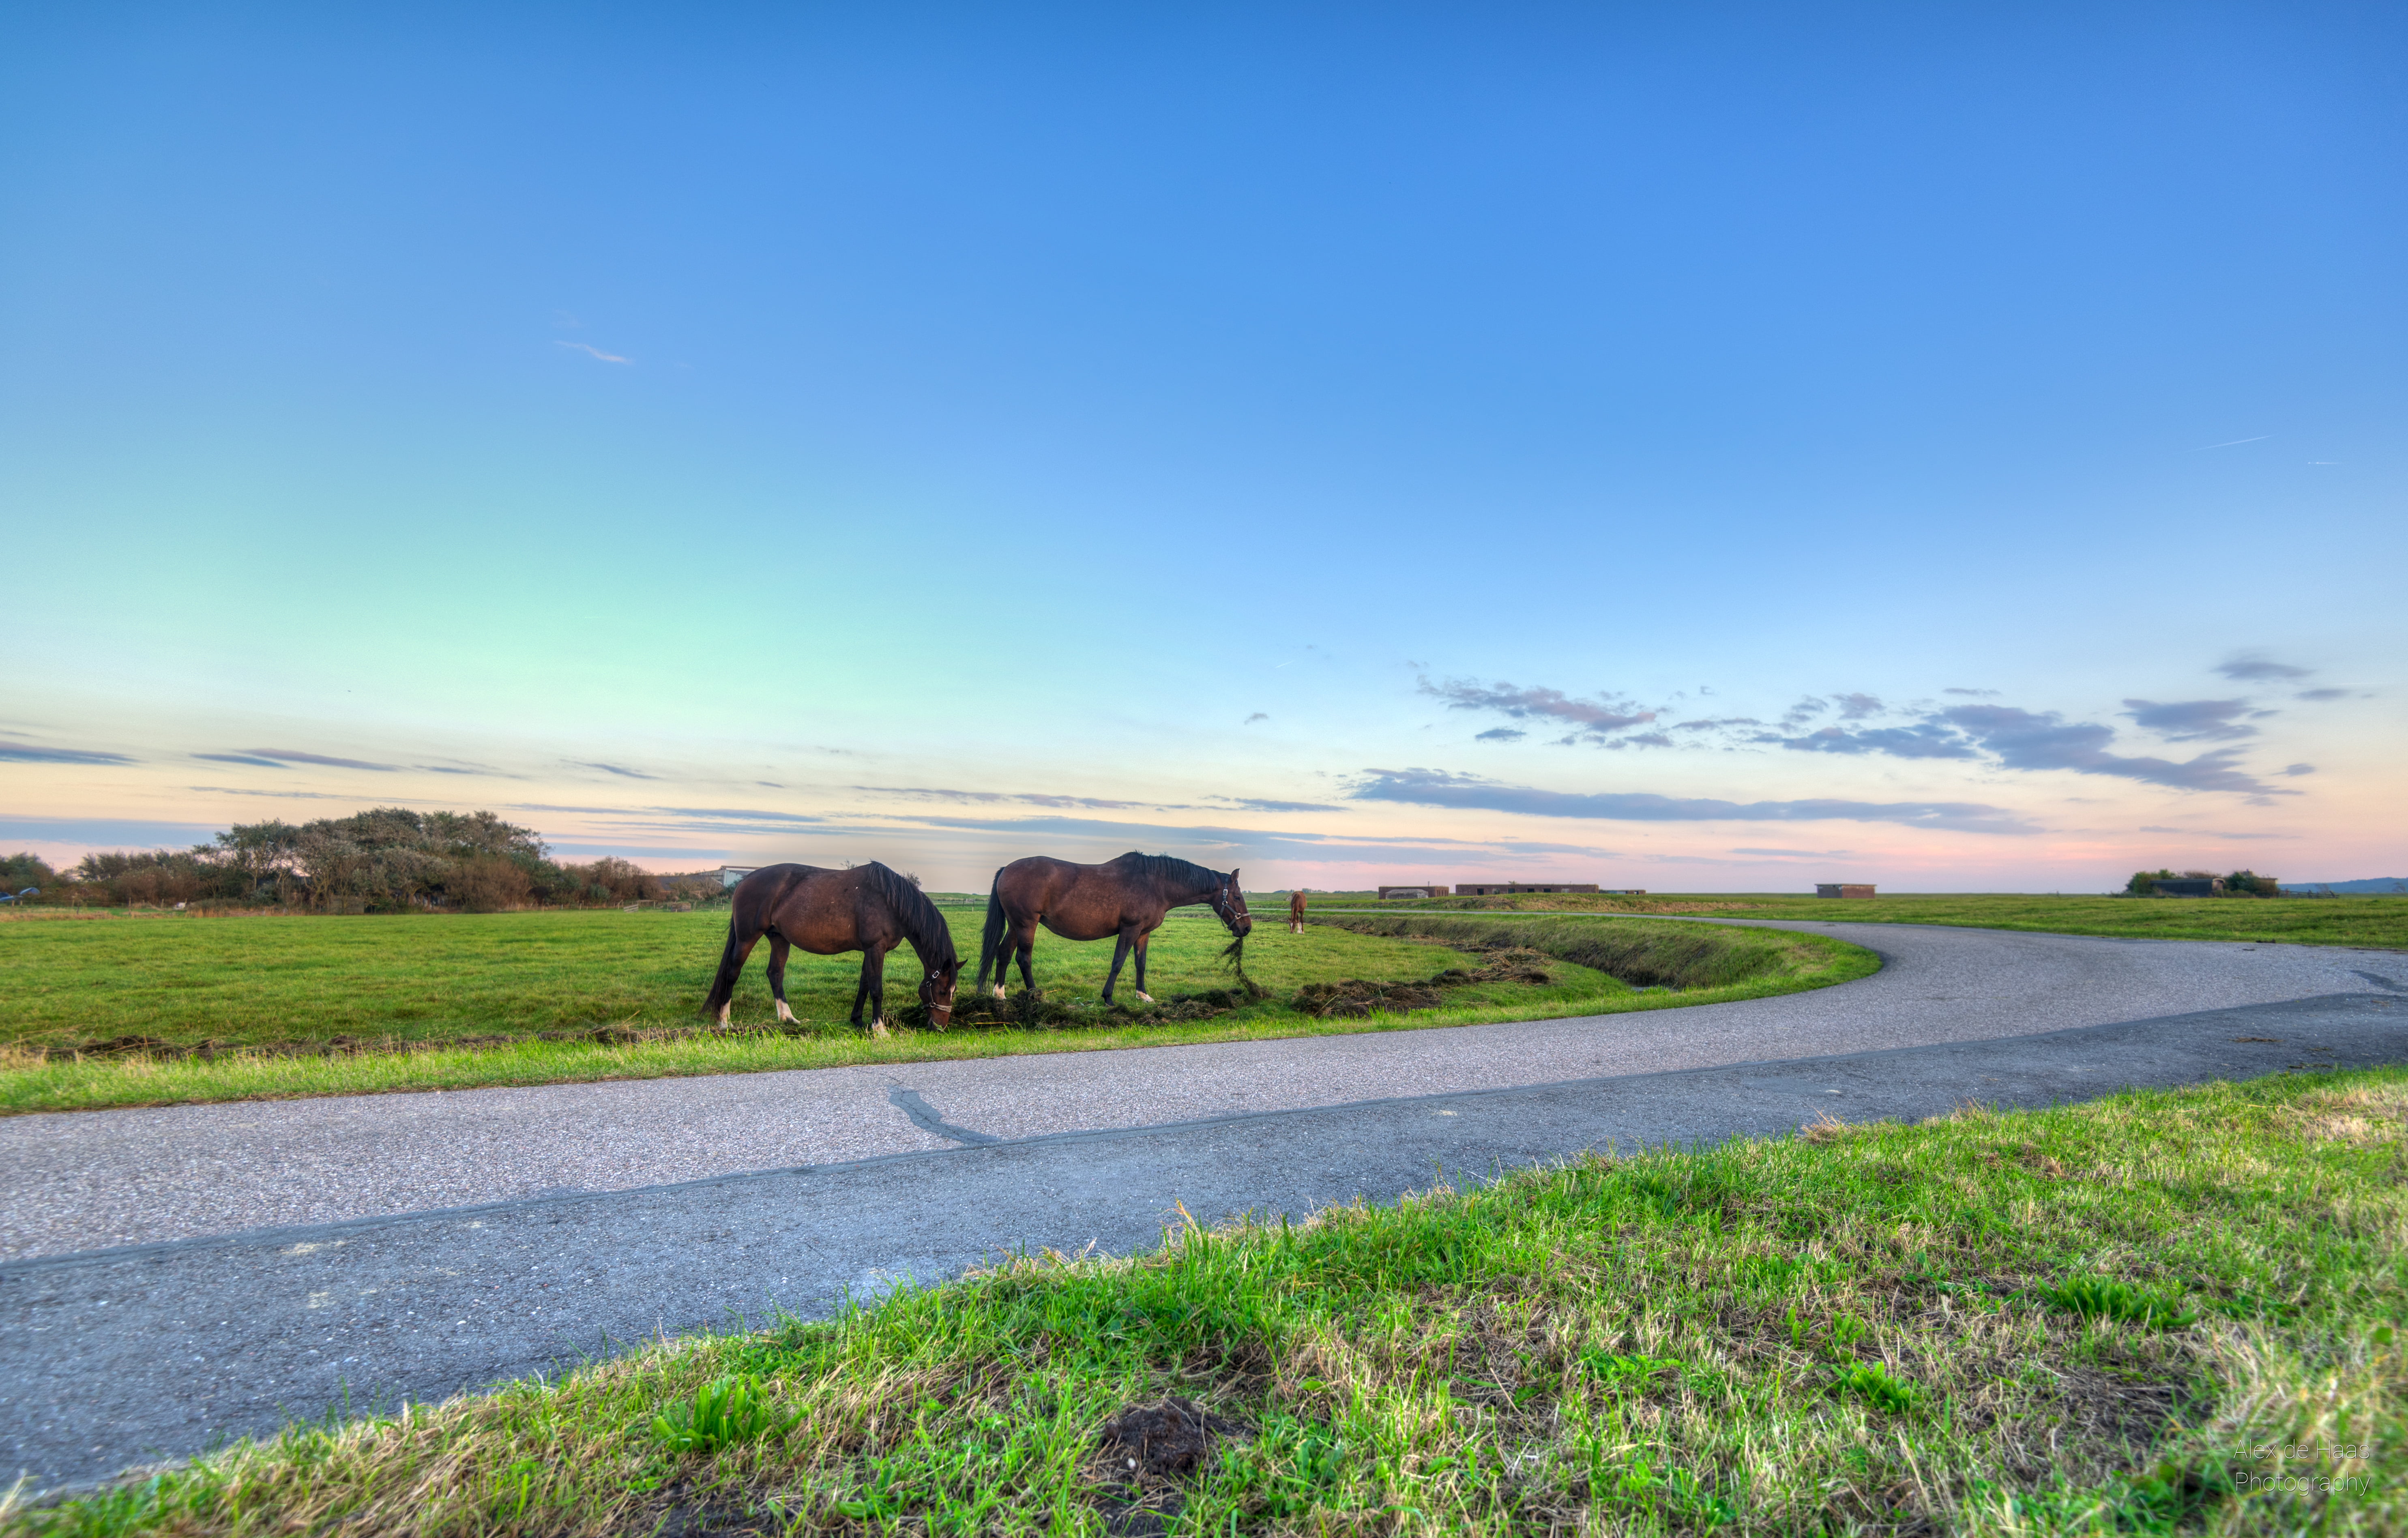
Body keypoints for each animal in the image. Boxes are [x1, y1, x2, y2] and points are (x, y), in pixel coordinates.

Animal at [703, 862, 958, 1037]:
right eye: (942, 991)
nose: (940, 1027)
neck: (891, 902)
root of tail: (745, 881)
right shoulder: (876, 948)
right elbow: (877, 989)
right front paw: (879, 1029)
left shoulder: (871, 951)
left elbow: (864, 985)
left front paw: (858, 1021)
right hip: (747, 938)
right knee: (733, 973)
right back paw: (725, 1021)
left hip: (779, 939)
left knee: (775, 974)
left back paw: (788, 1018)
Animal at [976, 851, 1252, 1004]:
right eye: (1238, 897)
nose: (1247, 928)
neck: (1156, 884)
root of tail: (1006, 870)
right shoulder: (1130, 929)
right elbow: (1118, 962)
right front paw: (1108, 998)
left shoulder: (1143, 933)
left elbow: (1141, 963)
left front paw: (1143, 996)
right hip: (1027, 924)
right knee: (1024, 958)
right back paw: (1036, 996)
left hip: (1016, 925)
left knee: (1004, 954)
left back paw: (1000, 996)